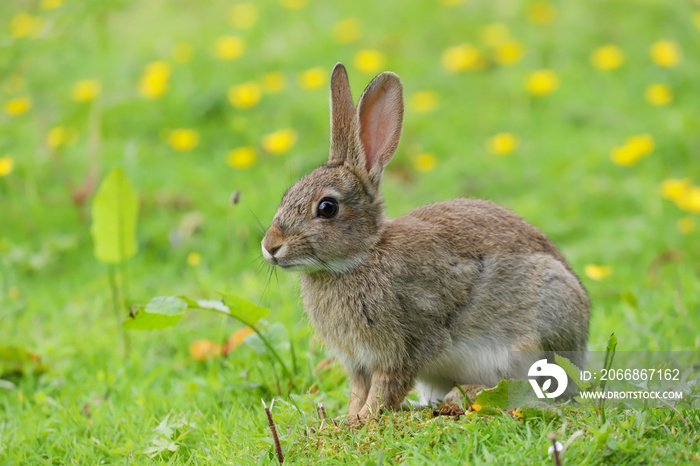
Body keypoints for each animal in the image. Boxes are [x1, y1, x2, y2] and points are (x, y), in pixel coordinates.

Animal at [262, 62, 592, 418]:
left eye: (327, 208)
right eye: (285, 195)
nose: (270, 246)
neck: (361, 257)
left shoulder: (406, 344)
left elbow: (384, 389)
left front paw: (364, 420)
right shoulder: (358, 361)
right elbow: (358, 390)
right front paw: (347, 419)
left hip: (543, 322)